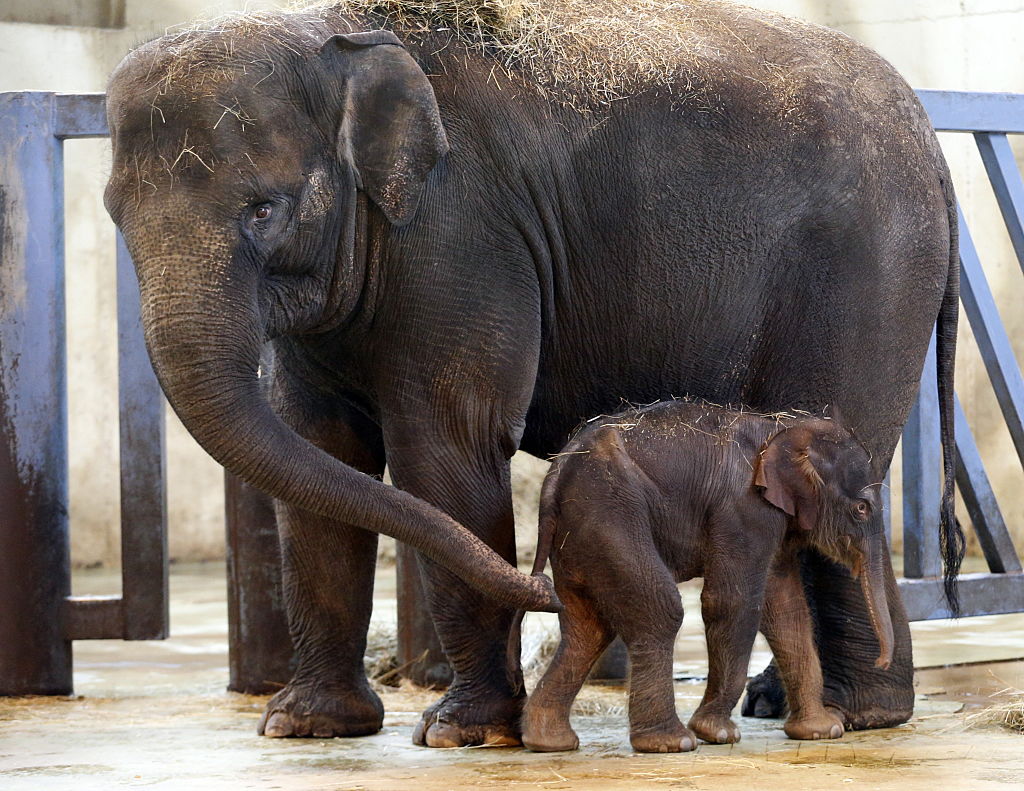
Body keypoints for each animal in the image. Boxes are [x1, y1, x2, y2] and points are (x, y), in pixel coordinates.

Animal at [518, 402, 891, 753]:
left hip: (580, 539)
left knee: (587, 629)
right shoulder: (744, 510)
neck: (782, 427)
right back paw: (672, 743)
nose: (881, 662)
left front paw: (822, 732)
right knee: (659, 610)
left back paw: (549, 742)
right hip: (610, 515)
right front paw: (718, 734)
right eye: (861, 509)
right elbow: (733, 602)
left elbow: (788, 610)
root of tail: (554, 477)